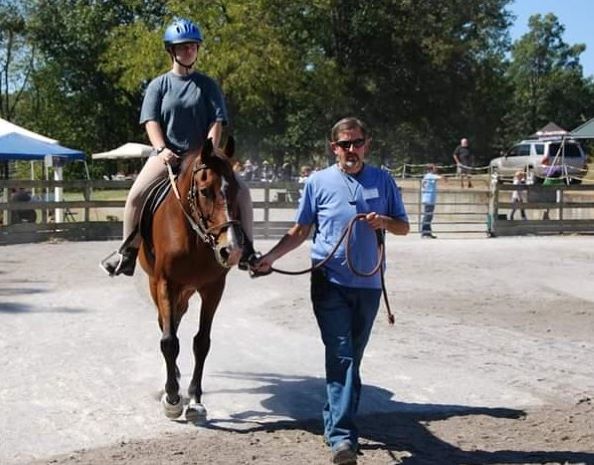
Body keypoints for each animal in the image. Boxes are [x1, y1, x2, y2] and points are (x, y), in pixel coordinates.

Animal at [137, 137, 243, 420]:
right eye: (205, 191)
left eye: (236, 190)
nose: (230, 249)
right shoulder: (165, 283)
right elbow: (169, 341)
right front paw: (172, 397)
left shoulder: (213, 288)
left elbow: (201, 342)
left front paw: (195, 399)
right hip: (158, 286)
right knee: (165, 324)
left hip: (186, 292)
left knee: (176, 319)